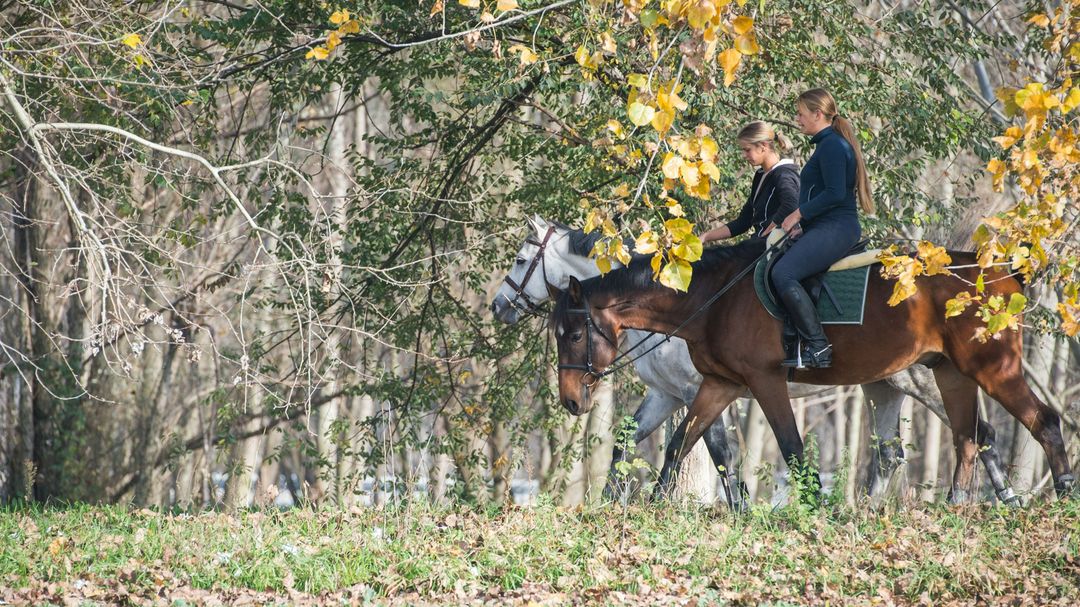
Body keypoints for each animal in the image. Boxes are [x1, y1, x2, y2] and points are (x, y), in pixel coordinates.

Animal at [493, 216, 1017, 504]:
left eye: (520, 260)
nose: (499, 306)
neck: (689, 305)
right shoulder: (669, 394)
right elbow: (634, 441)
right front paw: (612, 504)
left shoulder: (700, 389)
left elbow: (720, 452)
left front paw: (739, 507)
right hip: (882, 386)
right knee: (891, 454)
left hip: (927, 380)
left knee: (982, 434)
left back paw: (1003, 500)